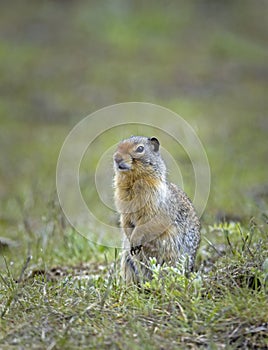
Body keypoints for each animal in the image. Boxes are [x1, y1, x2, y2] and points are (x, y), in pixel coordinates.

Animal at [113, 135, 201, 284]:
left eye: (140, 148)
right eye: (118, 145)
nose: (116, 158)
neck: (132, 181)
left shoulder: (156, 206)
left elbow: (147, 224)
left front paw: (135, 240)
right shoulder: (124, 210)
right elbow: (125, 222)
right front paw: (130, 239)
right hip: (127, 262)